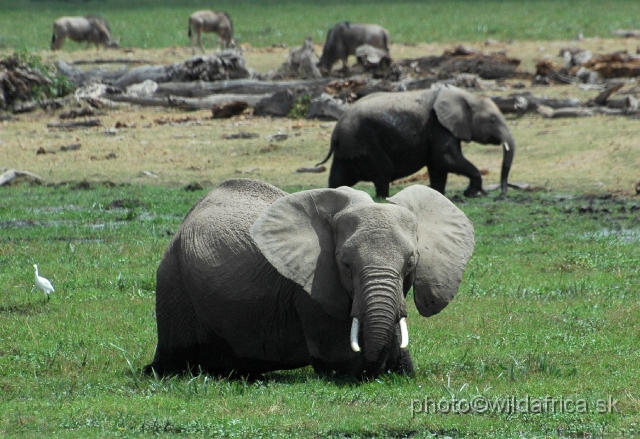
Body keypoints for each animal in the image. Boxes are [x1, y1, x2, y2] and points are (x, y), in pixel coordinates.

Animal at [146, 180, 476, 380]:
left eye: (411, 264)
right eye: (345, 264)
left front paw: (400, 369)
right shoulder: (313, 290)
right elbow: (339, 362)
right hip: (173, 280)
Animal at [318, 85, 516, 198]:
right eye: (492, 120)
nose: (501, 196)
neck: (465, 96)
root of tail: (336, 130)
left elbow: (438, 166)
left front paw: (439, 195)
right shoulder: (439, 125)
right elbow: (445, 159)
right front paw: (472, 192)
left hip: (348, 148)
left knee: (338, 178)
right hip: (364, 142)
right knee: (383, 172)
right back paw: (383, 199)